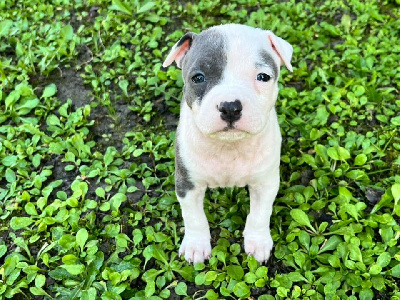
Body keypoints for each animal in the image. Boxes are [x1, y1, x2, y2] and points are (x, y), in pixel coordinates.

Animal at [162, 24, 294, 262]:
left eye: (263, 77)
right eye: (198, 78)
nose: (230, 107)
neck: (229, 147)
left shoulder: (266, 182)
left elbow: (260, 214)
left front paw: (258, 242)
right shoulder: (187, 183)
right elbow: (194, 217)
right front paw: (196, 245)